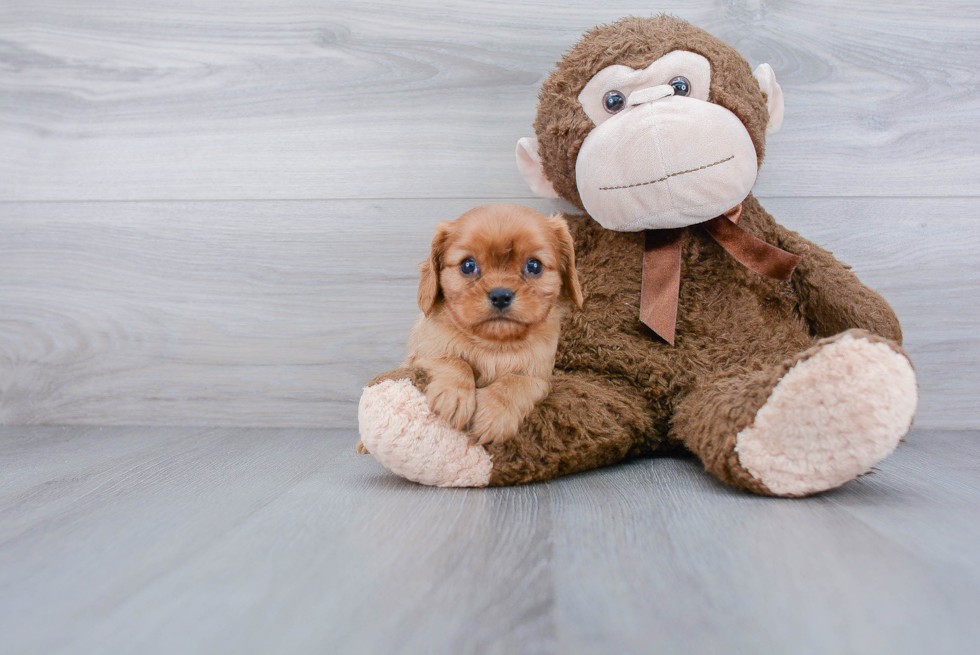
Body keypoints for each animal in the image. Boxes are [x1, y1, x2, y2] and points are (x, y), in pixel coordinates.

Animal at [360, 205, 580, 452]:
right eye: (468, 265)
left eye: (534, 266)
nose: (500, 295)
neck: (493, 344)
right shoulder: (423, 356)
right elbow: (455, 362)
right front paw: (453, 396)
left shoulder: (540, 377)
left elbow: (517, 382)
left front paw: (496, 413)